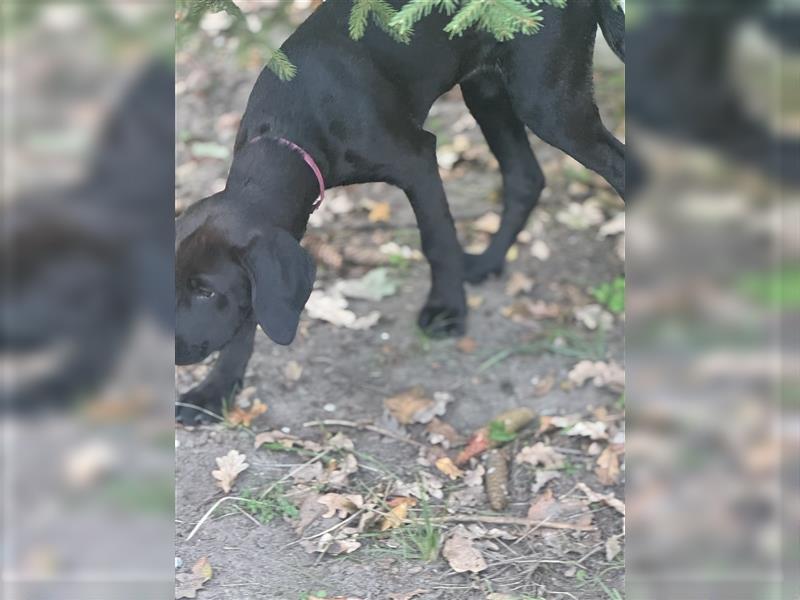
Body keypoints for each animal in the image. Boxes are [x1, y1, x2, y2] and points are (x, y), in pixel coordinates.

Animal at [175, 0, 624, 422]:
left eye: (207, 291)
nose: (174, 353)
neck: (288, 132)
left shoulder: (418, 160)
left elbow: (438, 241)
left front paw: (447, 309)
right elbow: (248, 318)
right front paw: (214, 391)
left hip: (548, 101)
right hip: (488, 89)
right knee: (525, 178)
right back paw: (487, 262)